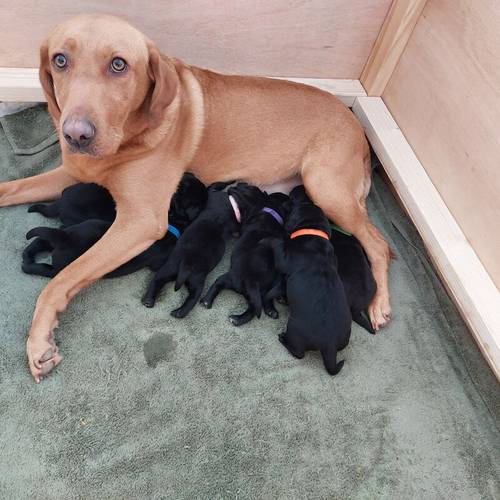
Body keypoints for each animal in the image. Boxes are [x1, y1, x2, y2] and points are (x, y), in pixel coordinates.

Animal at [139, 182, 260, 318]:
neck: (234, 203)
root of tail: (186, 264)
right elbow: (216, 185)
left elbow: (215, 185)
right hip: (184, 275)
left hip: (183, 275)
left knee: (179, 290)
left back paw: (167, 307)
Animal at [201, 188, 292, 324]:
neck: (272, 213)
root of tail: (249, 281)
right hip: (258, 290)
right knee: (255, 307)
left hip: (229, 279)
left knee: (219, 284)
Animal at [266, 187, 352, 376]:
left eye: (293, 201)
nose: (299, 187)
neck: (313, 231)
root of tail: (330, 345)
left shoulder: (285, 258)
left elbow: (277, 243)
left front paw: (271, 238)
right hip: (345, 339)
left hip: (294, 329)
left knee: (298, 353)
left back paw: (282, 338)